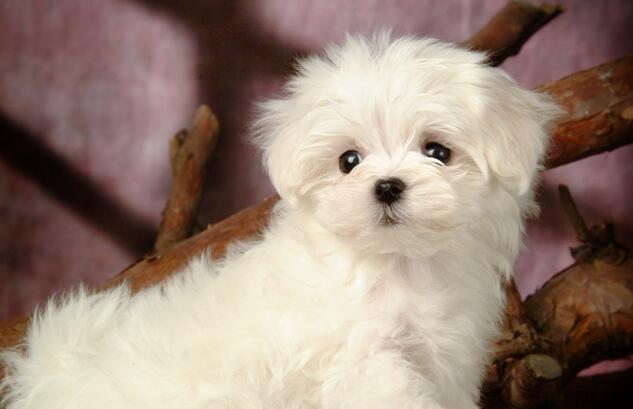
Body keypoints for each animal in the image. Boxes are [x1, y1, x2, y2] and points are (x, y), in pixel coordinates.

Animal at [1, 33, 559, 409]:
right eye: (349, 161)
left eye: (438, 151)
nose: (387, 186)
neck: (397, 264)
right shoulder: (361, 361)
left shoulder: (447, 360)